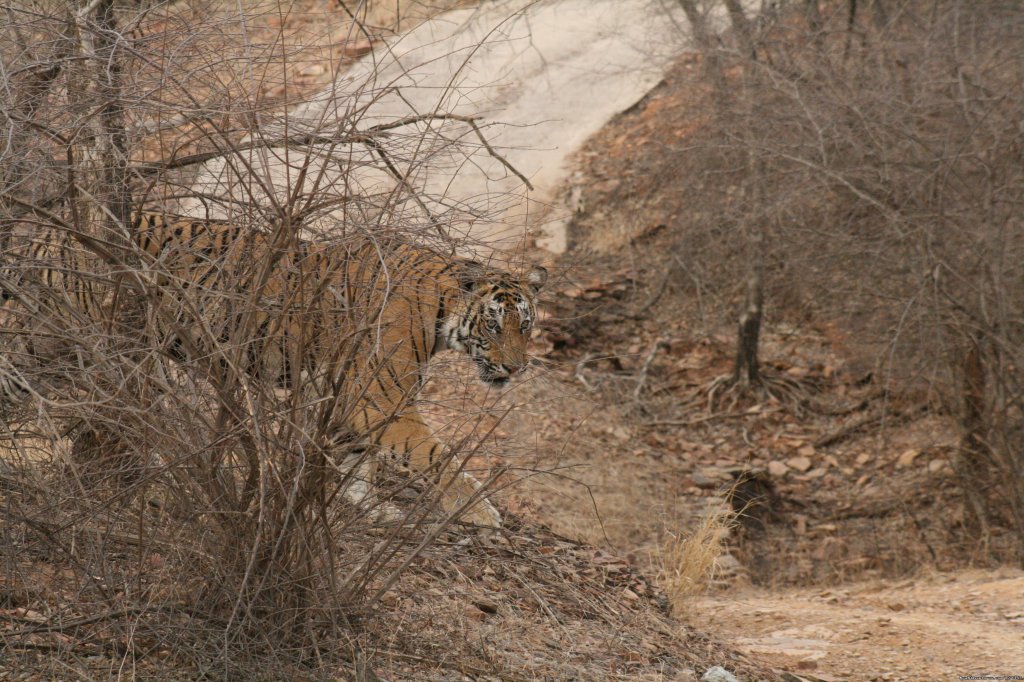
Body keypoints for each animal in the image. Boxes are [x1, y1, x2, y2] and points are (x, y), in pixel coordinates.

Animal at [0, 210, 548, 524]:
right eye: (495, 325)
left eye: (525, 325)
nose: (517, 369)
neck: (441, 314)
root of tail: (44, 239)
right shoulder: (377, 398)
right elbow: (435, 456)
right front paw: (479, 512)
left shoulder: (349, 397)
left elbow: (352, 456)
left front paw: (367, 505)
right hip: (69, 345)